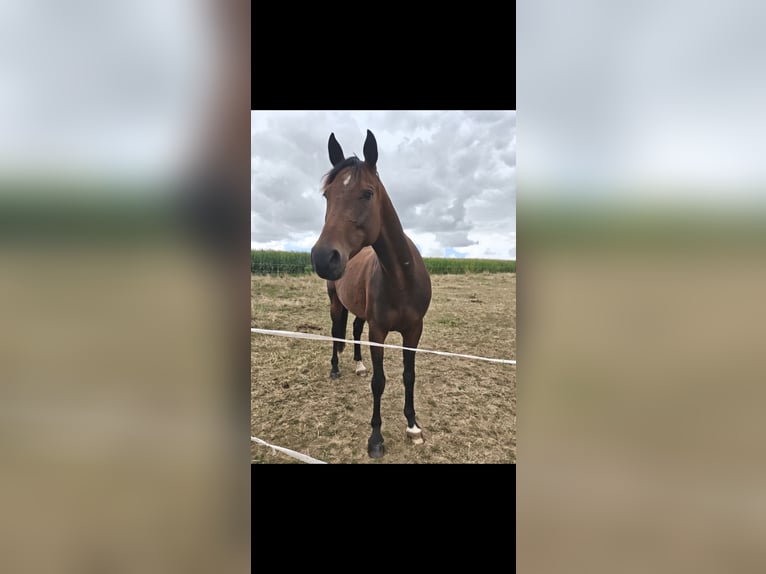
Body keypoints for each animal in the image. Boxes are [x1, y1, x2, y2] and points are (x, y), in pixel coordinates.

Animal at [310, 130, 432, 459]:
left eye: (367, 193)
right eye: (327, 196)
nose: (323, 258)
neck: (401, 278)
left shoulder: (413, 331)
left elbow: (409, 375)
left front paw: (413, 427)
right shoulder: (378, 332)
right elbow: (380, 382)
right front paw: (376, 438)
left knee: (352, 330)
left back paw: (358, 364)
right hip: (336, 303)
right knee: (336, 332)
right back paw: (336, 369)